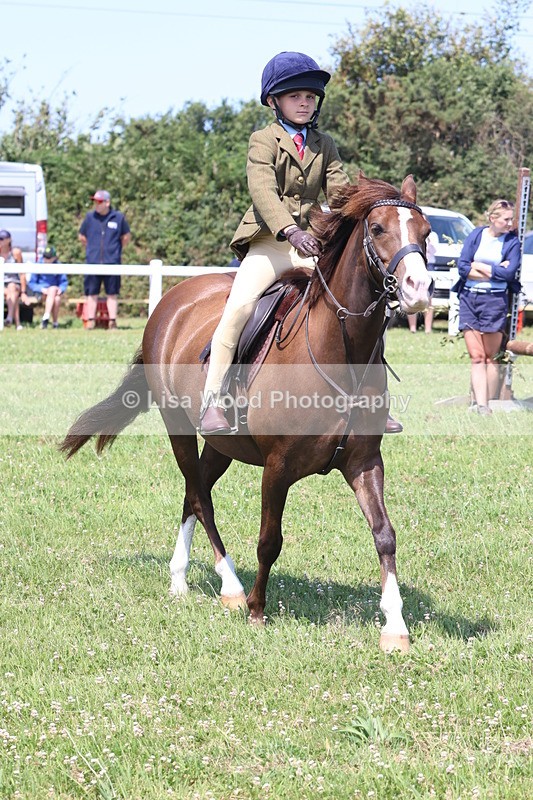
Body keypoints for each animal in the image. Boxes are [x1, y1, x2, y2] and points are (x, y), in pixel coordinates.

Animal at [61, 173, 433, 653]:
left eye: (426, 233)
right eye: (379, 229)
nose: (419, 290)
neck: (338, 351)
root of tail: (174, 298)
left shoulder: (365, 462)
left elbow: (385, 535)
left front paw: (395, 626)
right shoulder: (277, 467)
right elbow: (269, 540)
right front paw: (257, 609)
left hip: (223, 444)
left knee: (194, 491)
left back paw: (180, 578)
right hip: (178, 427)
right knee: (201, 498)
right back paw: (232, 587)